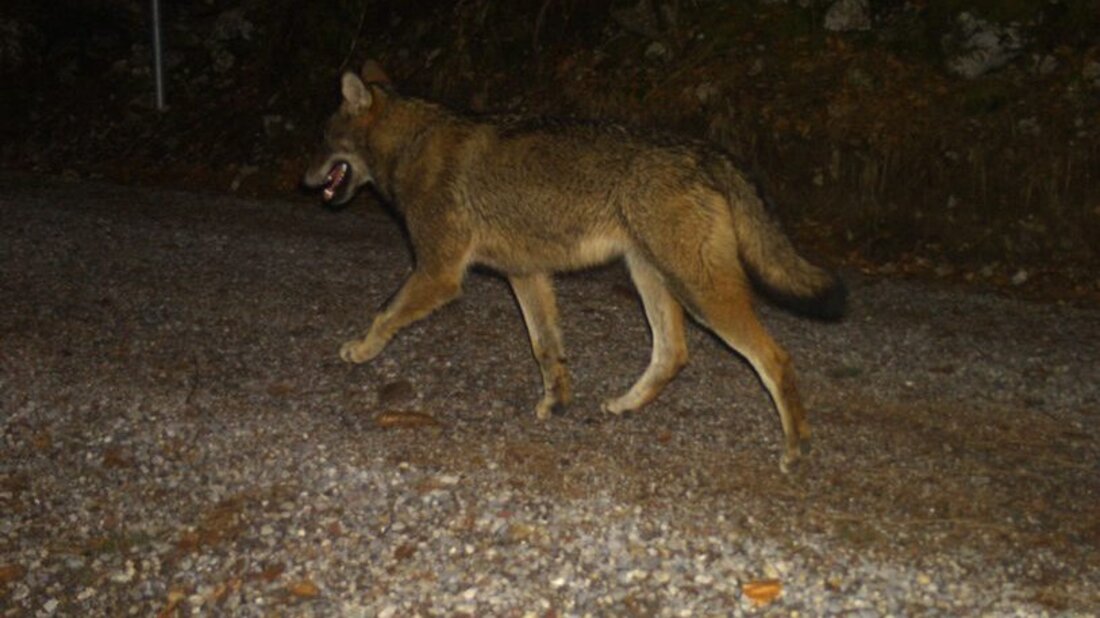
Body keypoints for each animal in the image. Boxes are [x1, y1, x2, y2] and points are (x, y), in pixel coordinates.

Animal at [303, 62, 846, 471]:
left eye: (324, 138)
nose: (303, 180)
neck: (412, 144)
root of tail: (706, 151)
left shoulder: (439, 272)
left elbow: (385, 313)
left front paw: (360, 350)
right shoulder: (526, 275)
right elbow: (547, 350)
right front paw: (558, 402)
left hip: (701, 293)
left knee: (775, 359)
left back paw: (796, 448)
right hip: (652, 280)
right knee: (673, 353)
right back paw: (625, 405)